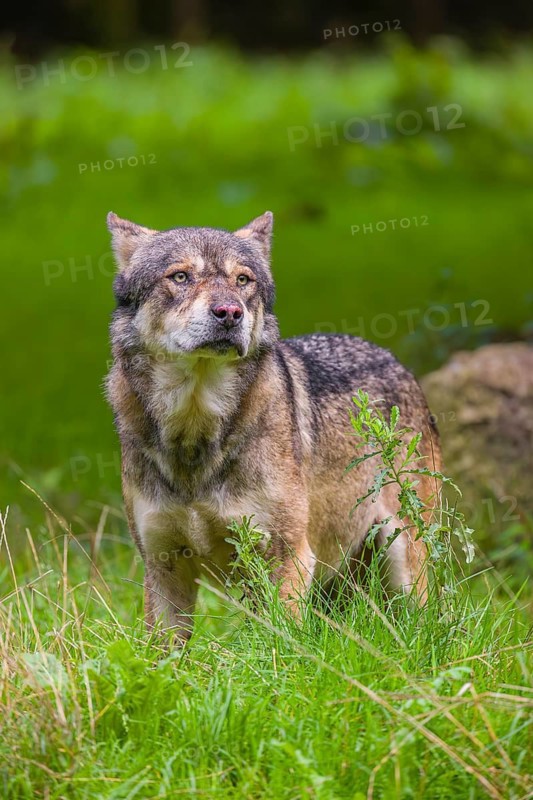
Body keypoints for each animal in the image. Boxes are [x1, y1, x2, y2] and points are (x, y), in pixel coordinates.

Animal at [106, 210, 441, 640]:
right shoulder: (163, 567)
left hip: (404, 564)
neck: (196, 432)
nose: (229, 313)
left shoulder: (287, 556)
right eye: (180, 276)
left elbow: (279, 643)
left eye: (242, 280)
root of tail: (391, 358)